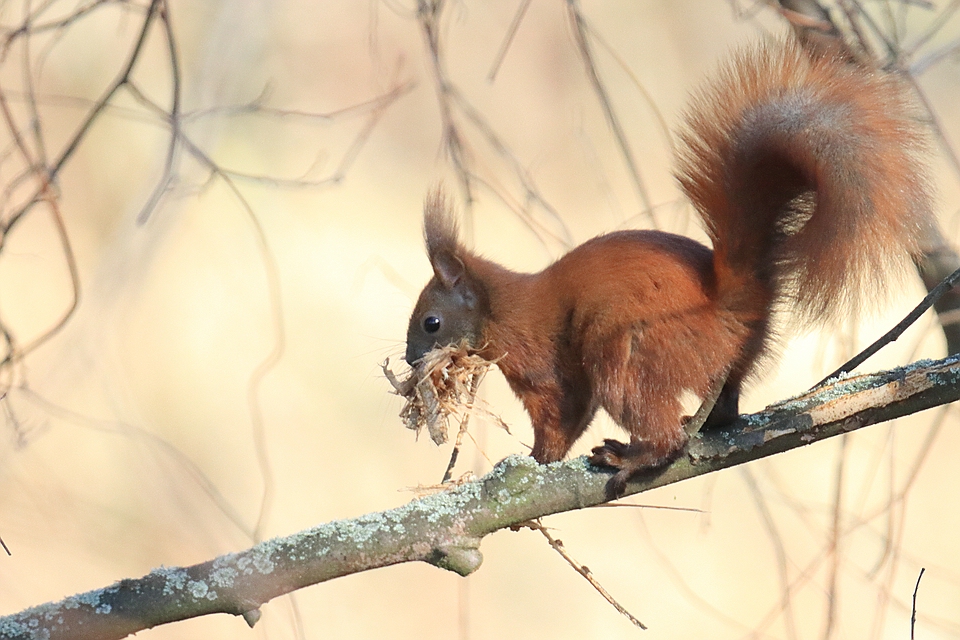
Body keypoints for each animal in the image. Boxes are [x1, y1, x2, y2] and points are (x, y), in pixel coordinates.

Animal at [404, 40, 928, 496]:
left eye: (431, 322)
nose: (410, 361)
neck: (504, 307)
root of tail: (730, 305)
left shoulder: (544, 365)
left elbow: (561, 414)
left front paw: (535, 460)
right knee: (724, 410)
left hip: (626, 351)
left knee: (664, 435)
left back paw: (631, 457)